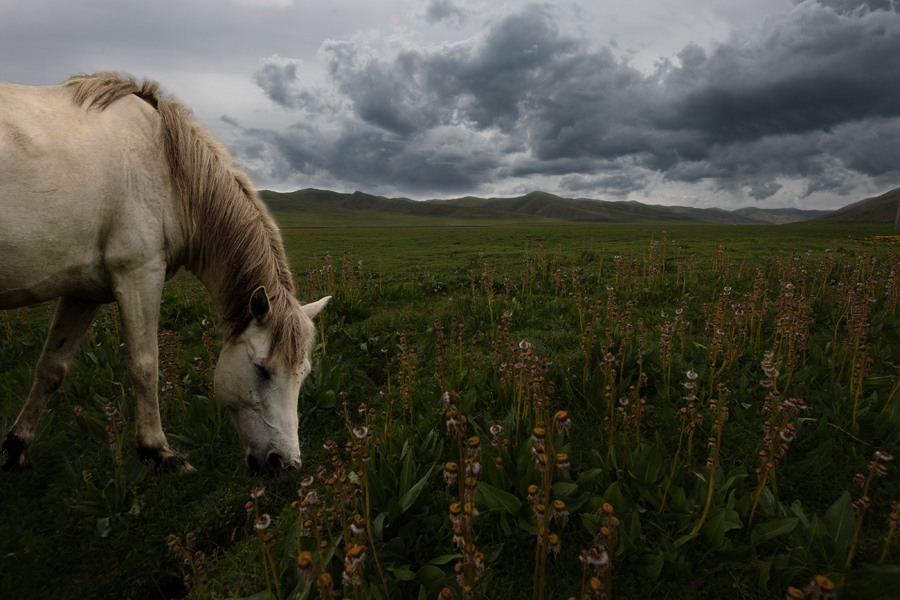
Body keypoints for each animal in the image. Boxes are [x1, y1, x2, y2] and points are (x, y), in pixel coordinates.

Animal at [0, 72, 330, 474]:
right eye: (262, 369)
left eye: (304, 374)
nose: (285, 464)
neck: (167, 171)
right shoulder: (139, 274)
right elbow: (145, 366)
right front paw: (158, 451)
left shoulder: (83, 292)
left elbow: (51, 367)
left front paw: (16, 447)